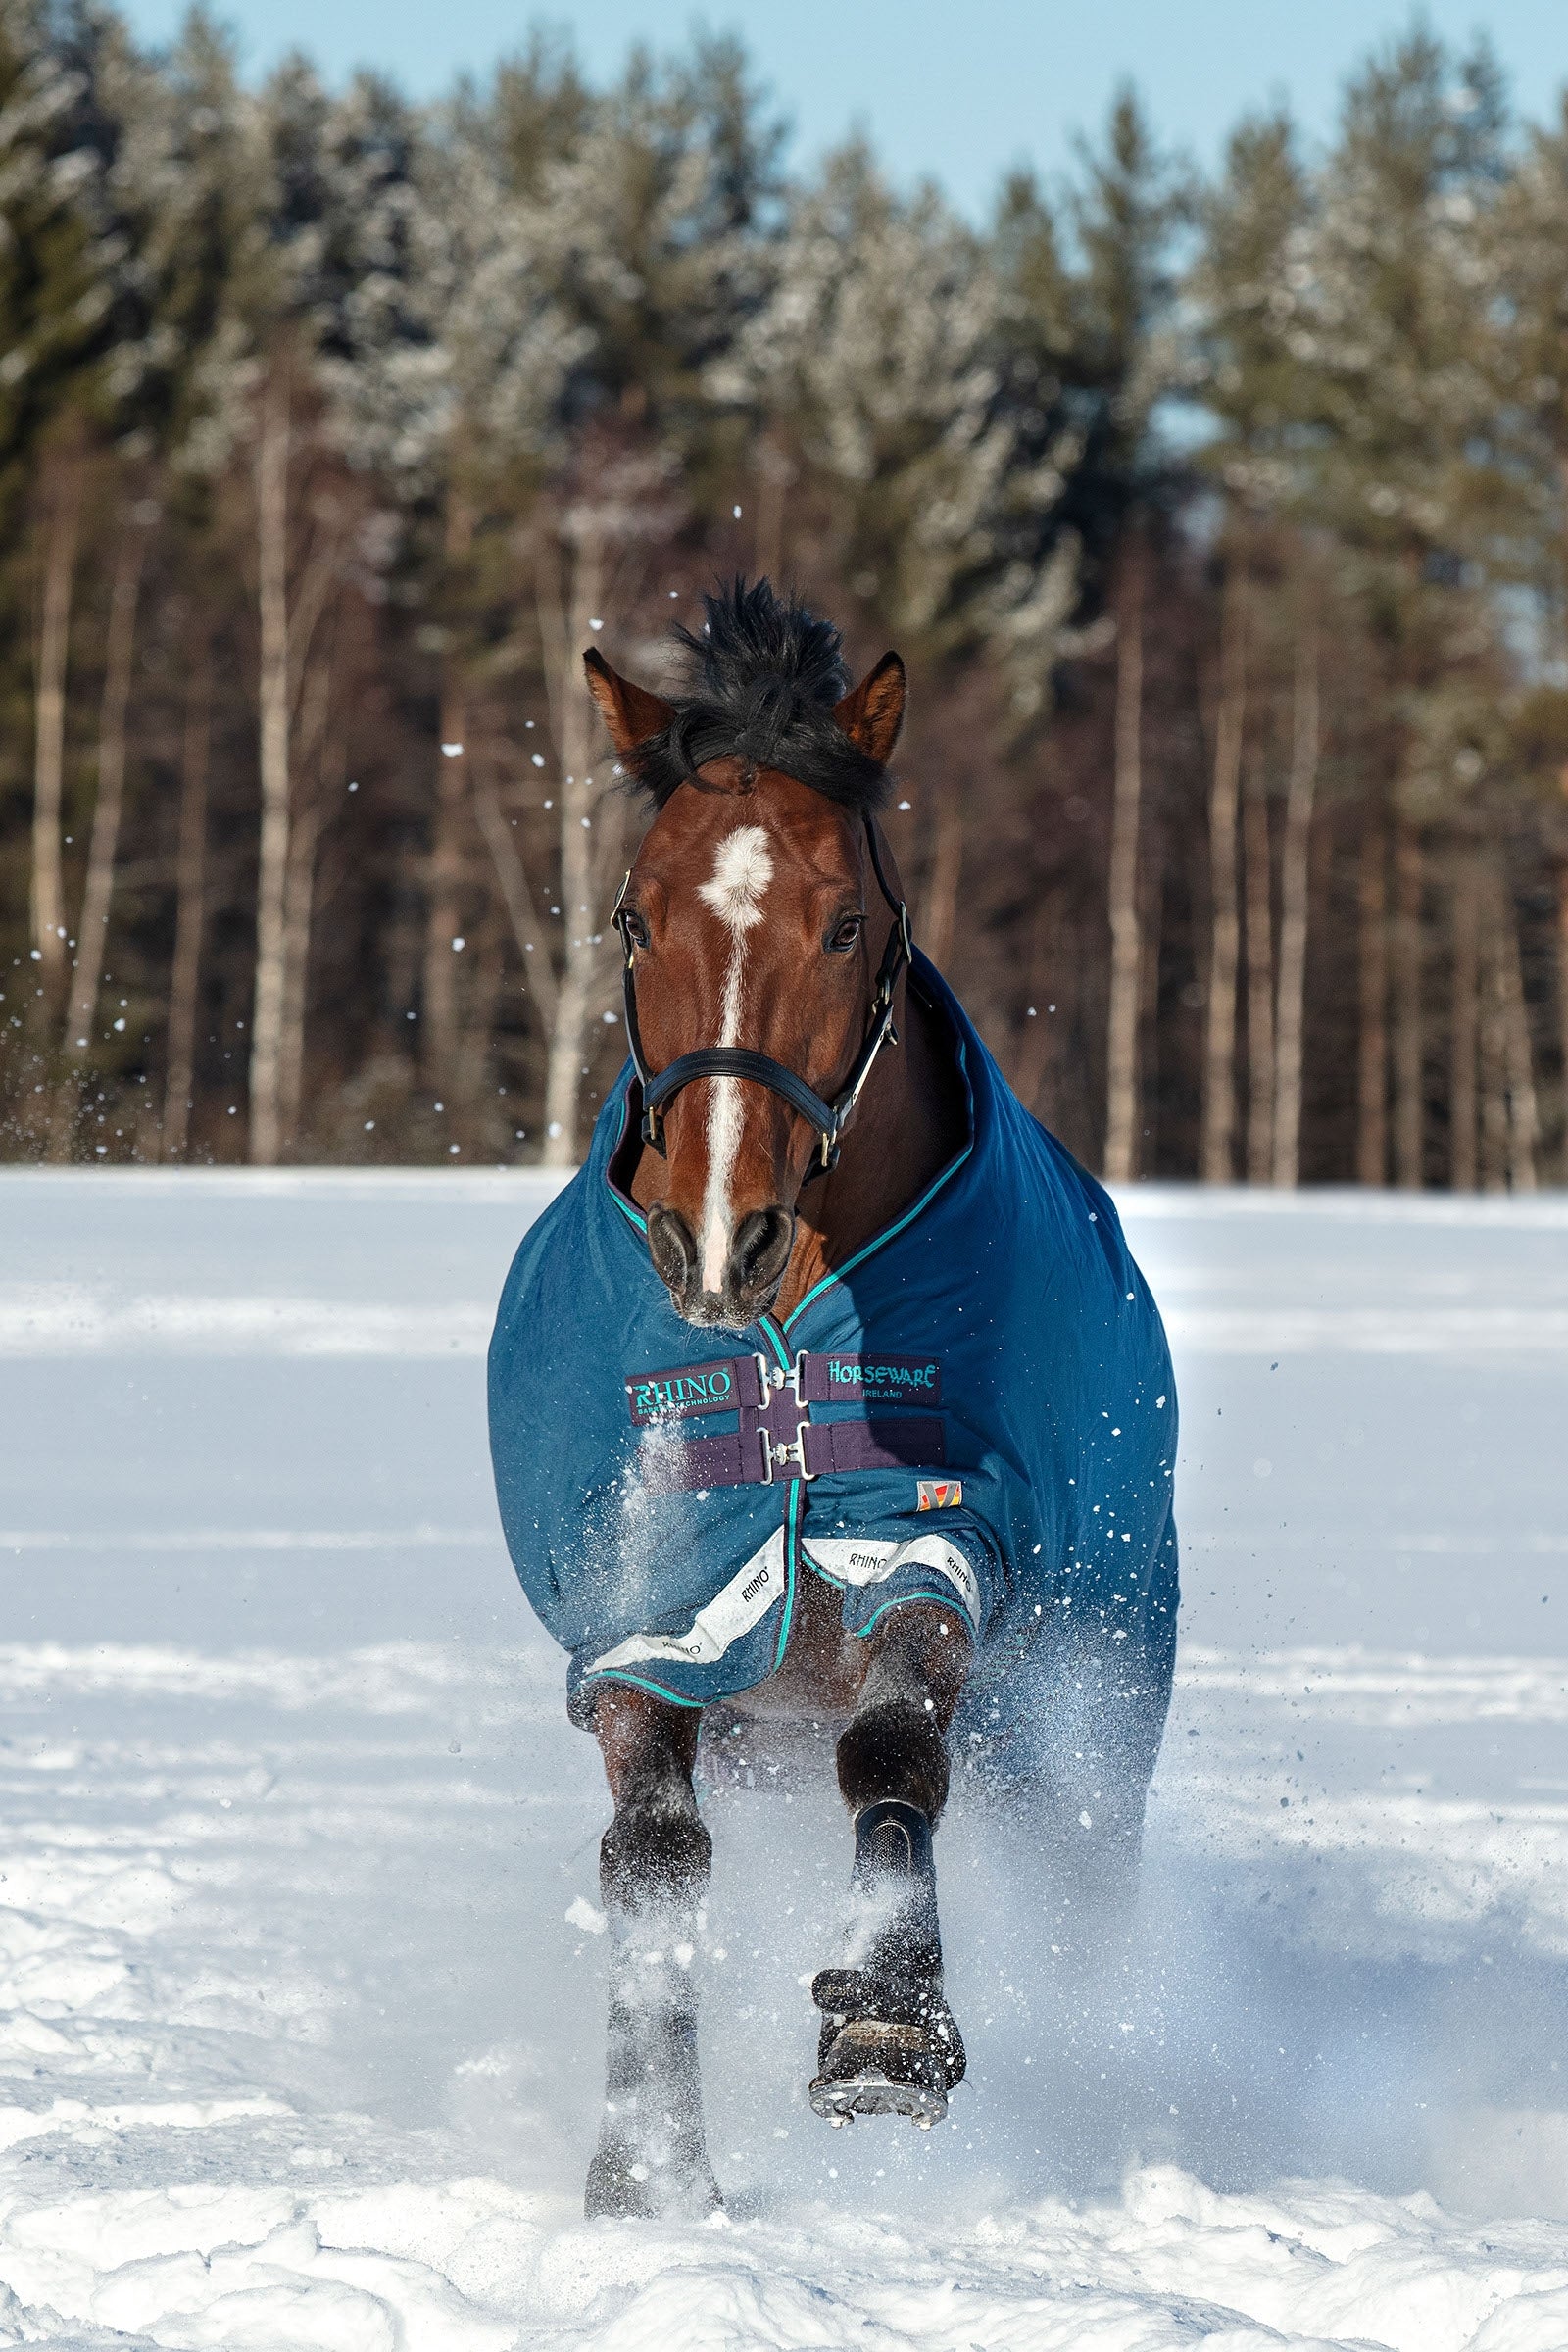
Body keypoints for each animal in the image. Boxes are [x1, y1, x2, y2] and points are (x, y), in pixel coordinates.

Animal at [488, 579, 1179, 2218]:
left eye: (846, 918)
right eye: (635, 913)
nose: (715, 1235)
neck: (786, 1346)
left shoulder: (927, 1531)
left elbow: (894, 1748)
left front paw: (886, 2023)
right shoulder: (652, 1605)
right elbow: (653, 1853)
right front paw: (648, 2166)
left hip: (1092, 1703)